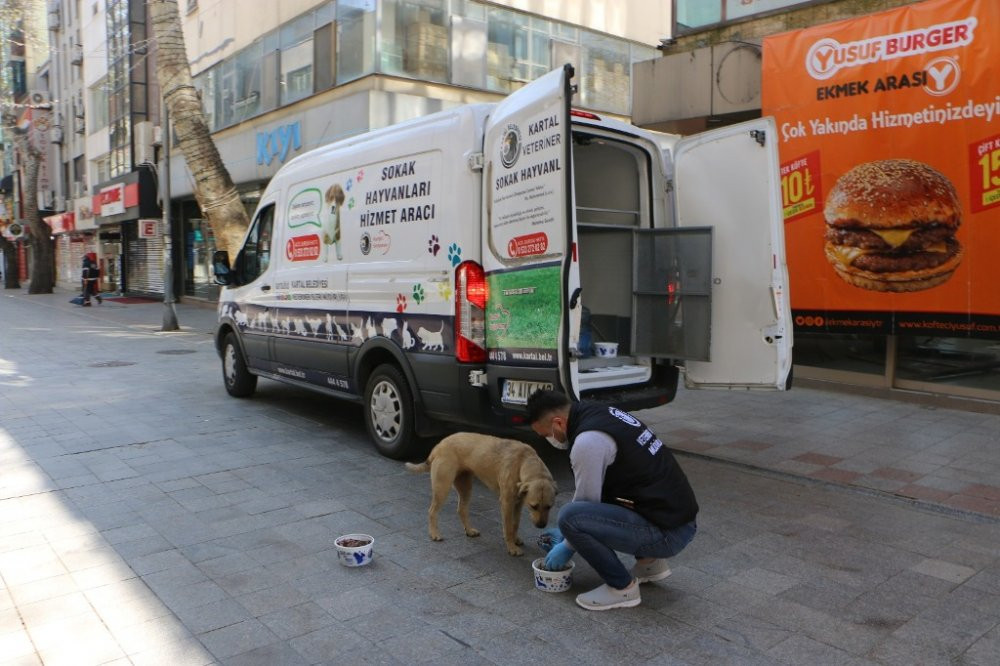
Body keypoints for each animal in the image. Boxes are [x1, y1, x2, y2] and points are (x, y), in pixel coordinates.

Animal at [408, 430, 564, 556]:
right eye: (533, 506)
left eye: (549, 507)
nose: (541, 526)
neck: (524, 461)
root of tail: (438, 445)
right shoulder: (507, 503)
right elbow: (508, 527)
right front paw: (511, 547)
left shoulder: (518, 503)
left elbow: (515, 524)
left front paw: (515, 539)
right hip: (442, 487)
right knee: (432, 511)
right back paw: (434, 534)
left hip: (465, 488)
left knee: (461, 510)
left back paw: (469, 530)